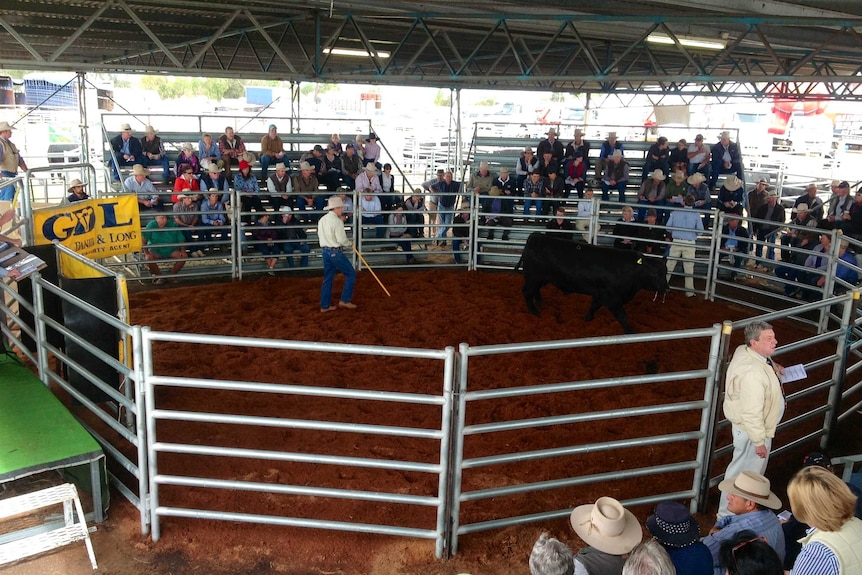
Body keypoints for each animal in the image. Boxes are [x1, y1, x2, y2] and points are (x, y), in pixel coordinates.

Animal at [516, 233, 672, 332]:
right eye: (654, 273)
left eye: (665, 271)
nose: (666, 288)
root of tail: (535, 236)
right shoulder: (612, 298)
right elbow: (622, 316)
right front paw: (630, 332)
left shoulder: (600, 294)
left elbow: (594, 306)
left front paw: (587, 319)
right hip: (533, 277)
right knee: (527, 292)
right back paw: (534, 312)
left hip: (540, 278)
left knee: (535, 291)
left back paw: (540, 304)